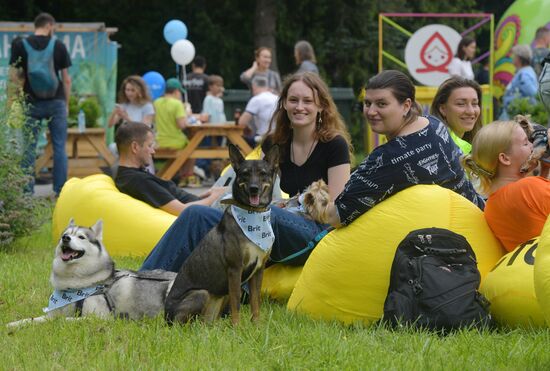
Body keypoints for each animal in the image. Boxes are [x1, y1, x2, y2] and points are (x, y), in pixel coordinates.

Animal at [8, 219, 177, 330]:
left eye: (81, 237)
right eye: (65, 234)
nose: (65, 238)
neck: (73, 285)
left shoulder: (100, 318)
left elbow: (62, 320)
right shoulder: (51, 314)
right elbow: (32, 319)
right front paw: (15, 324)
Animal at [165, 143, 280, 326]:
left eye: (263, 173)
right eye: (245, 173)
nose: (254, 189)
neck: (253, 216)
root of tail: (165, 316)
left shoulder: (258, 270)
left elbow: (255, 301)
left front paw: (256, 326)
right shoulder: (235, 269)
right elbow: (237, 302)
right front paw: (237, 327)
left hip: (220, 296)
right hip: (201, 294)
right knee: (181, 323)